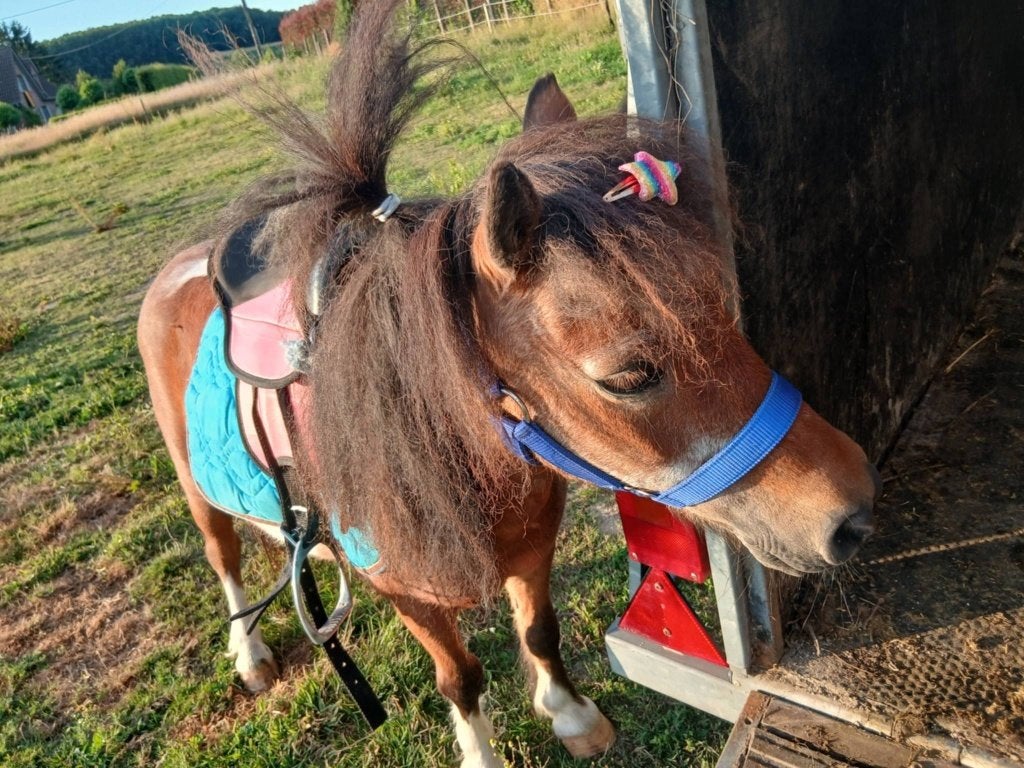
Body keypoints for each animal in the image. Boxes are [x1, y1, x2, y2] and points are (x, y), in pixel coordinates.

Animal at [137, 2, 880, 765]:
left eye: (721, 305)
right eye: (627, 376)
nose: (852, 510)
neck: (453, 450)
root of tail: (177, 269)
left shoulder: (533, 542)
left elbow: (539, 631)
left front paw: (572, 716)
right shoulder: (412, 597)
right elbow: (461, 678)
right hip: (197, 490)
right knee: (223, 559)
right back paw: (249, 654)